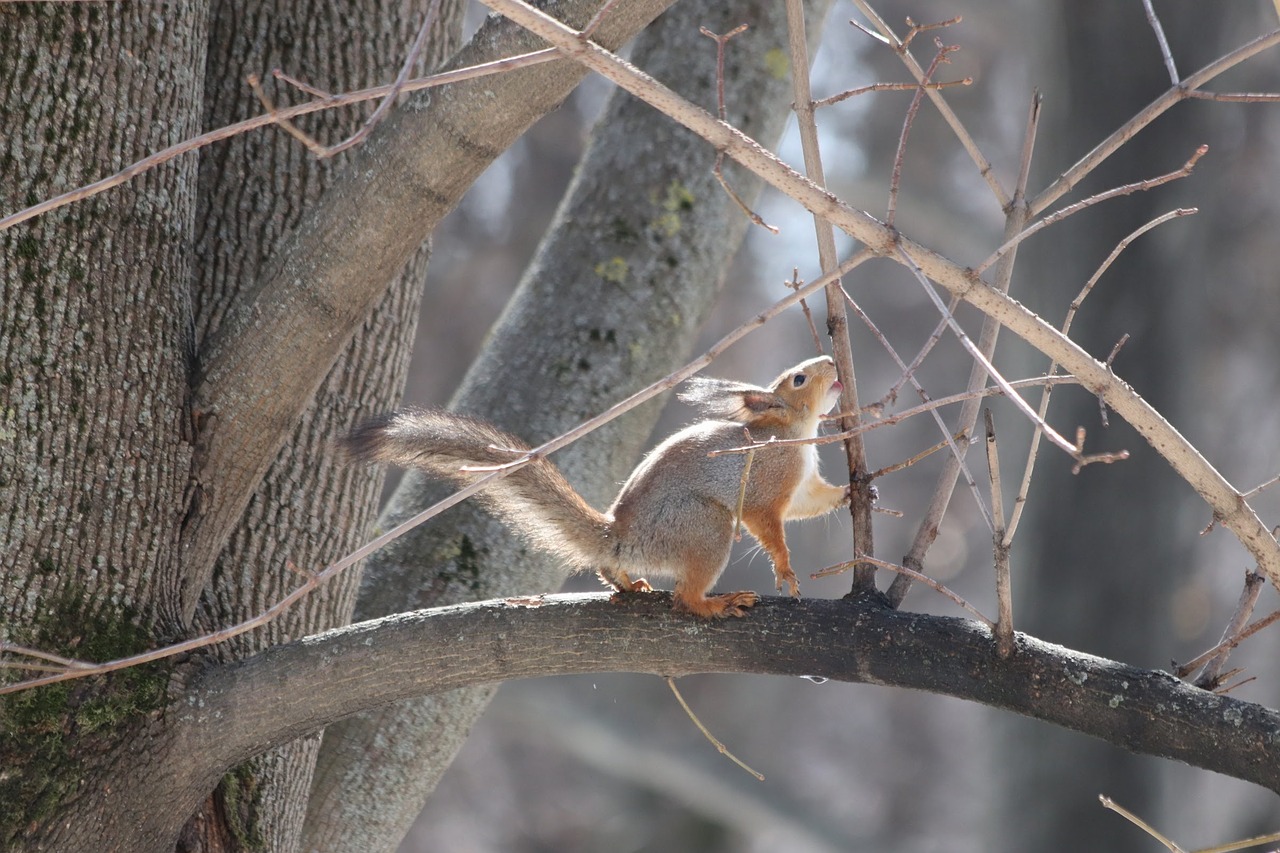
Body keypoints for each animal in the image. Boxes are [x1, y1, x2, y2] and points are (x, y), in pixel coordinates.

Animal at [345, 356, 855, 614]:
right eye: (800, 378)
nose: (833, 359)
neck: (793, 433)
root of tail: (621, 537)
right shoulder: (767, 483)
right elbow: (768, 524)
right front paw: (786, 570)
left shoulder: (802, 484)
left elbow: (812, 502)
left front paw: (854, 492)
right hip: (703, 526)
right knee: (685, 599)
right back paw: (717, 603)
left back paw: (628, 584)